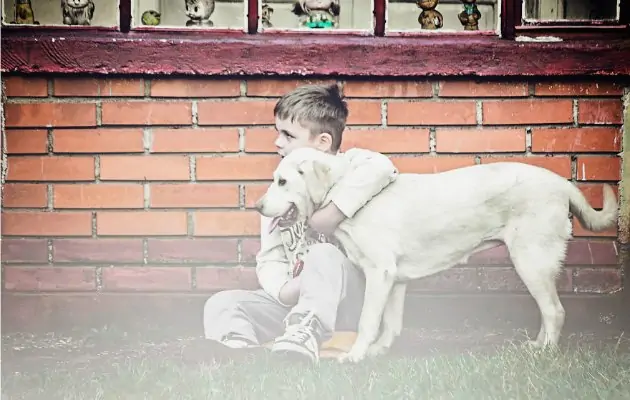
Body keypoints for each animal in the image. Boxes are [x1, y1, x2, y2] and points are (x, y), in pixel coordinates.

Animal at [254, 148, 620, 364]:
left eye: (282, 181)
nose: (257, 206)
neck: (346, 198)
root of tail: (561, 183)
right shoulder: (394, 279)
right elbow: (390, 323)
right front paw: (379, 351)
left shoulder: (380, 273)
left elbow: (367, 320)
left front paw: (356, 355)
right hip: (535, 265)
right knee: (548, 312)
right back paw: (537, 345)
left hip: (530, 260)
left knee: (555, 311)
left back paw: (546, 354)